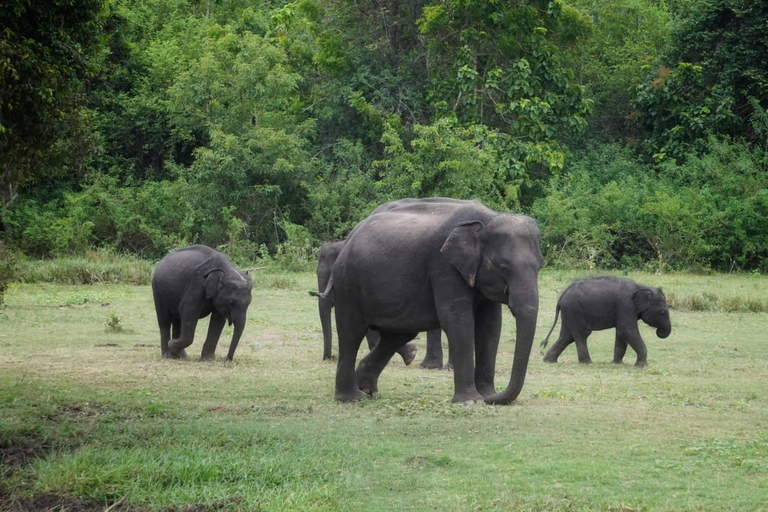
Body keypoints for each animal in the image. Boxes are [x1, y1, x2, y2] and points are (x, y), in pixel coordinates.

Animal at [541, 276, 671, 367]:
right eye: (662, 312)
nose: (659, 331)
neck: (640, 287)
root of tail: (561, 298)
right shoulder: (626, 306)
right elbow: (627, 330)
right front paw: (643, 366)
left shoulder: (624, 309)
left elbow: (621, 333)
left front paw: (617, 363)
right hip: (574, 310)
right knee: (581, 334)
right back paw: (587, 363)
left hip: (569, 313)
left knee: (566, 336)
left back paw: (549, 361)